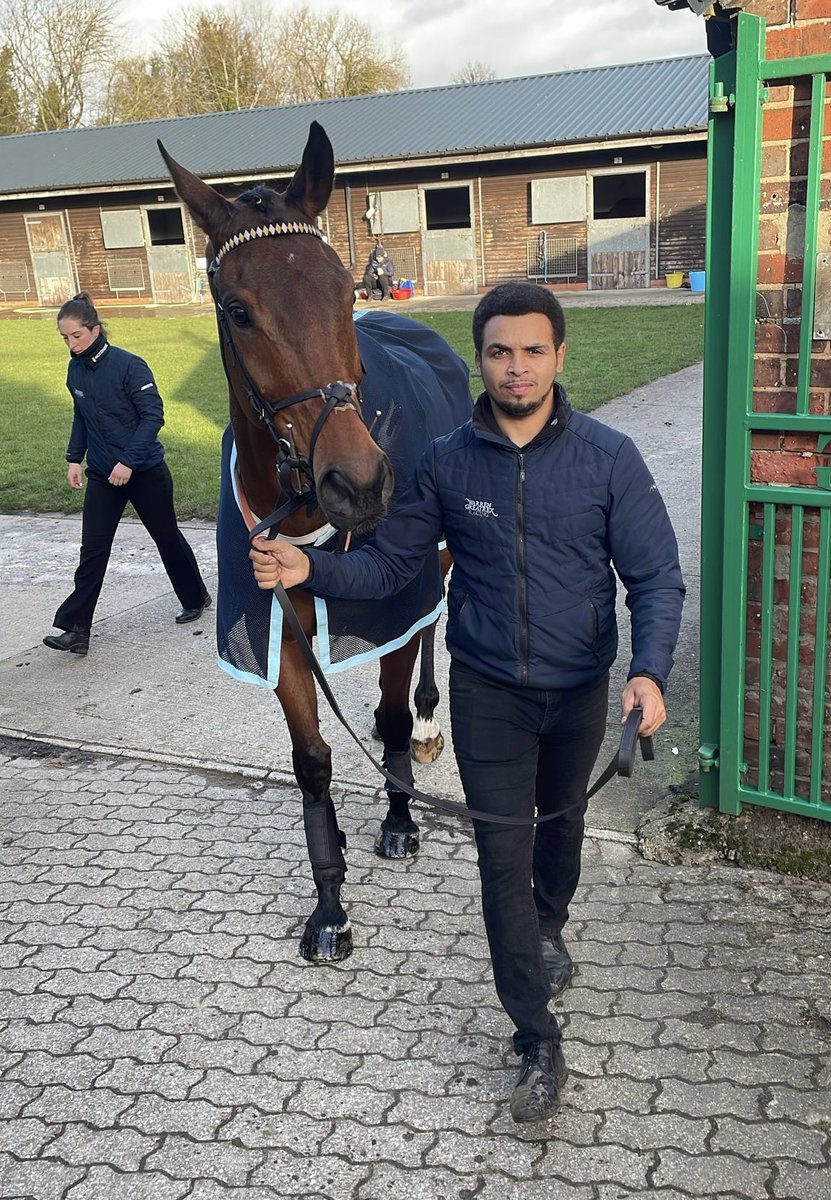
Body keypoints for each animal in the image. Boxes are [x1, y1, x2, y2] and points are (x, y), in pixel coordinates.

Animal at [158, 121, 470, 964]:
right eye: (238, 310)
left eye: (342, 288)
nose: (358, 483)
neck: (299, 518)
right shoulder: (276, 630)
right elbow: (311, 764)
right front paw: (329, 905)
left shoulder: (389, 607)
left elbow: (389, 709)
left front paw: (398, 818)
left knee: (433, 634)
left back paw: (427, 726)